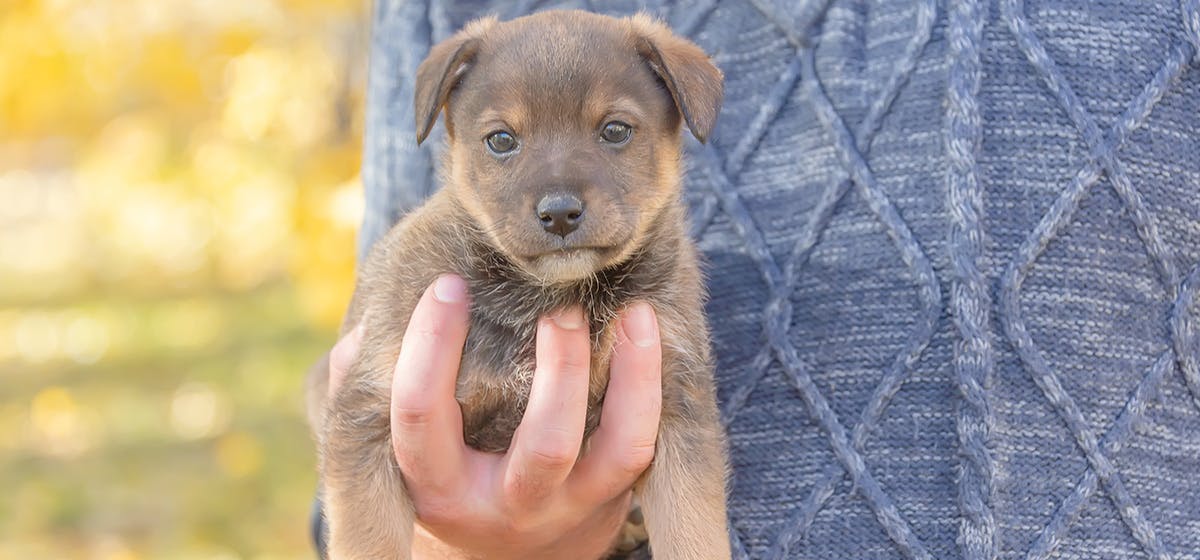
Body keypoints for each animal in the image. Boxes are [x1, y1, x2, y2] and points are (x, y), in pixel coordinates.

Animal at [304, 9, 724, 560]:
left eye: (615, 130)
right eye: (501, 140)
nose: (560, 212)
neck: (549, 294)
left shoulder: (679, 408)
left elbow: (695, 533)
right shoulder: (366, 414)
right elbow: (369, 542)